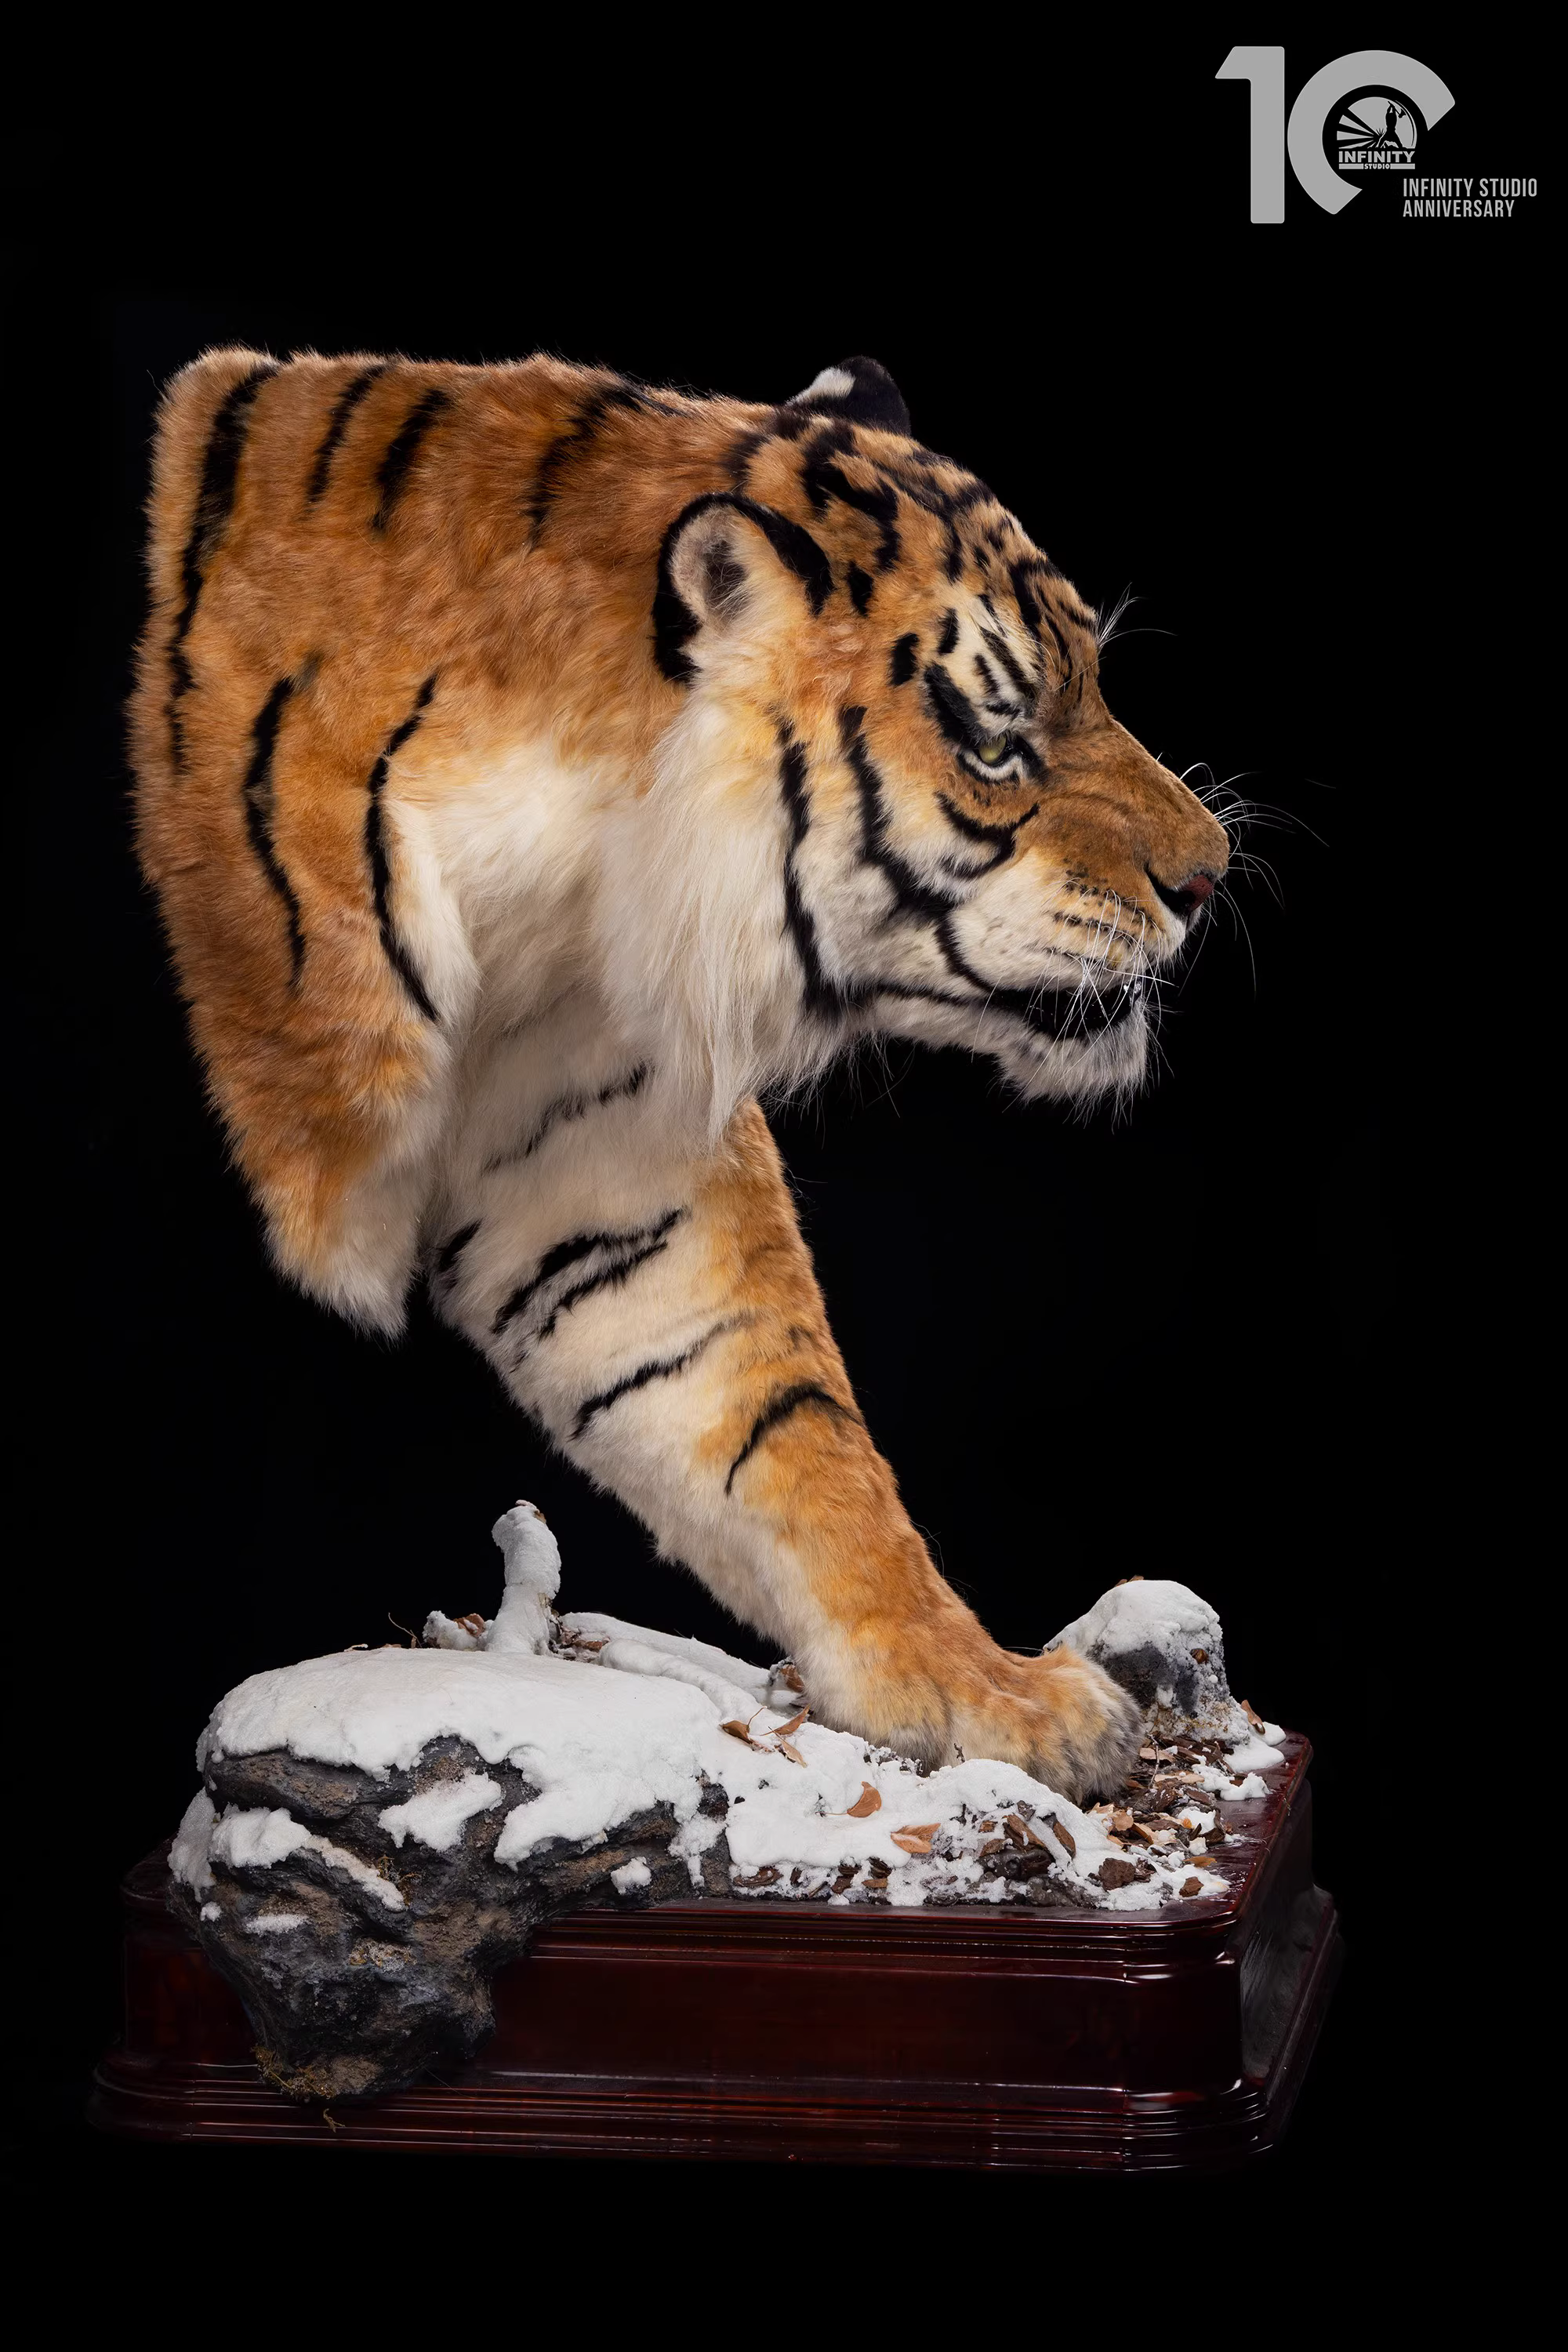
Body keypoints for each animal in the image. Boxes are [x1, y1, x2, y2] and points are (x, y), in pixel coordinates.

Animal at [131, 347, 1229, 1804]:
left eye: (1095, 687)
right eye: (995, 743)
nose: (1213, 876)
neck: (552, 890)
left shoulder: (602, 1158)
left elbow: (780, 1424)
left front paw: (990, 1691)